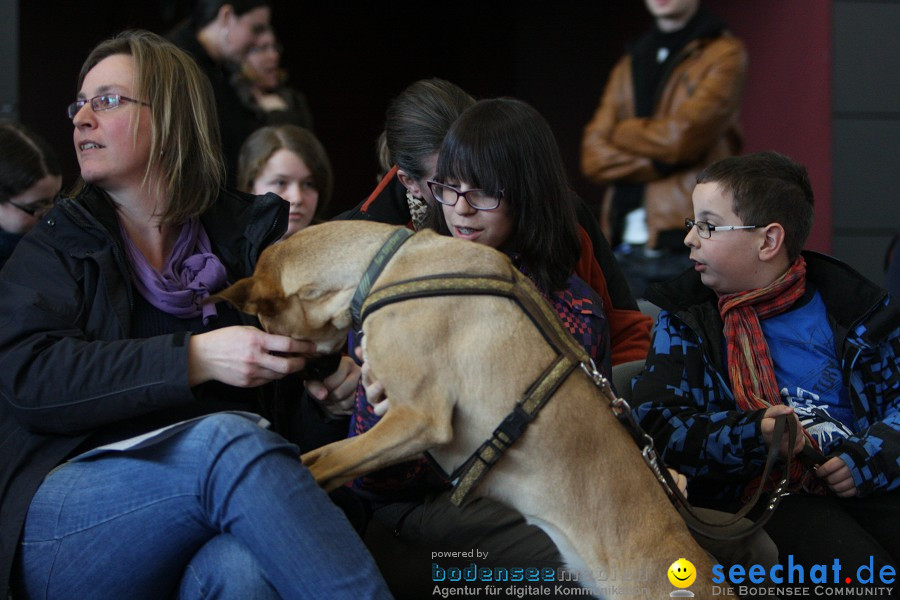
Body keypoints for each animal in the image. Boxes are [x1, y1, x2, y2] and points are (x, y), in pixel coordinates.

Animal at [216, 221, 732, 600]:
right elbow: (317, 456)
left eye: (266, 325)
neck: (386, 266)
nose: (315, 380)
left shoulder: (417, 419)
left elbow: (327, 461)